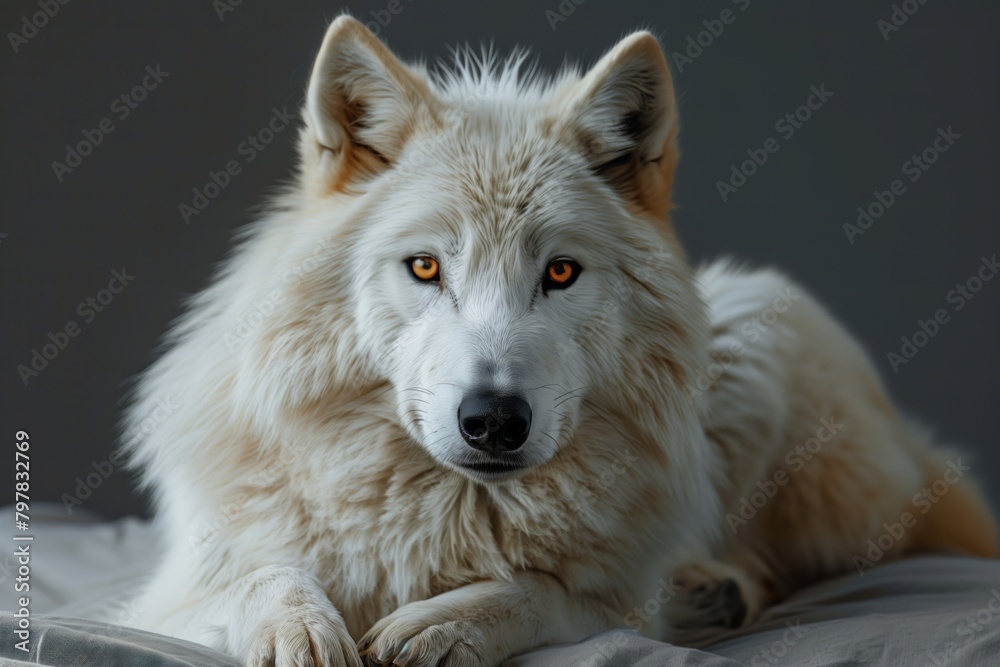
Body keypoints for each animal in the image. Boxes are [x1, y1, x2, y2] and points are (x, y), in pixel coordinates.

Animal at [125, 16, 998, 666]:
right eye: (425, 266)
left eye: (561, 272)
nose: (494, 419)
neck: (449, 509)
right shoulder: (166, 596)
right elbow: (260, 575)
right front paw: (299, 629)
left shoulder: (617, 605)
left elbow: (552, 591)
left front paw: (446, 621)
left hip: (755, 336)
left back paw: (709, 585)